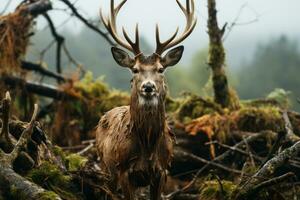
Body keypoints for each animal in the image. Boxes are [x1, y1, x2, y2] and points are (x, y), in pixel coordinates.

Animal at [95, 0, 196, 199]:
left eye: (160, 69)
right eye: (135, 69)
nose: (148, 87)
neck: (148, 145)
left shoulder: (162, 171)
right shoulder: (124, 170)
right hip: (106, 168)